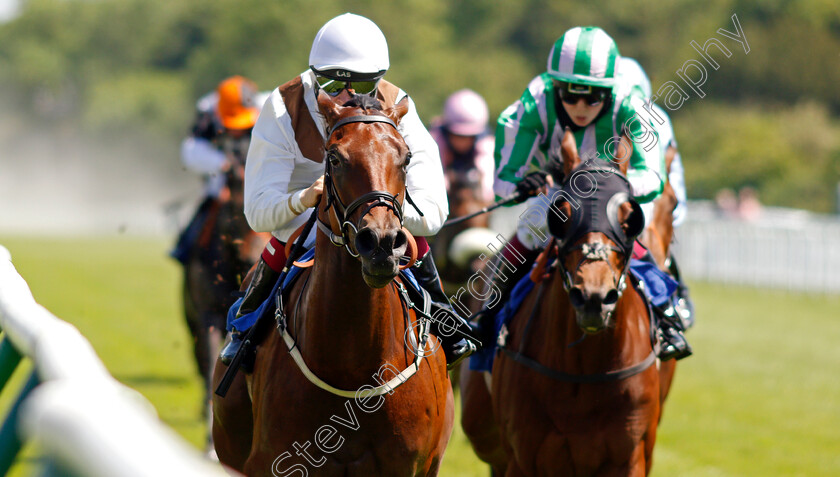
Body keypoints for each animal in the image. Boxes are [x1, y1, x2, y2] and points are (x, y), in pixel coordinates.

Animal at [213, 94, 456, 476]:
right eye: (335, 158)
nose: (381, 244)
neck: (354, 368)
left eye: (406, 157)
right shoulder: (269, 462)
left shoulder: (410, 466)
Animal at [462, 131, 668, 476]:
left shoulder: (631, 455)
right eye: (561, 215)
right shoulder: (523, 457)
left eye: (630, 217)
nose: (594, 298)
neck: (584, 371)